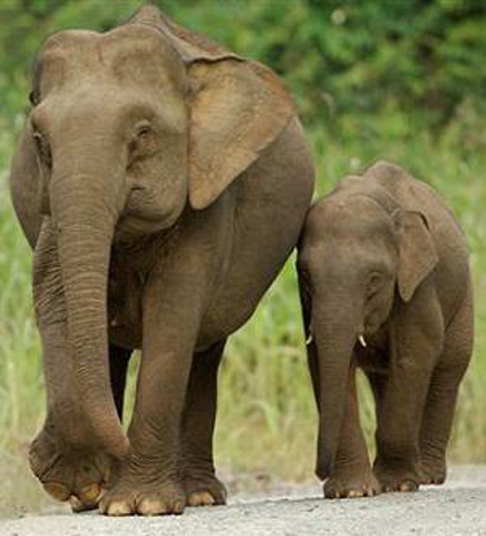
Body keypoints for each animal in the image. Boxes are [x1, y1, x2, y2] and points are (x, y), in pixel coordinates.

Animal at [11, 4, 316, 516]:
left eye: (143, 133)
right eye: (39, 139)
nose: (118, 446)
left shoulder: (209, 192)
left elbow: (172, 317)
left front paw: (140, 505)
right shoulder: (52, 211)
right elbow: (54, 297)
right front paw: (82, 485)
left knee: (203, 353)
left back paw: (196, 495)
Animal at [298, 162, 472, 498]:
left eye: (374, 280)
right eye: (307, 277)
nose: (319, 475)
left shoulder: (419, 285)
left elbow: (414, 355)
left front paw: (398, 484)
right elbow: (323, 363)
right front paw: (351, 492)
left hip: (463, 299)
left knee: (447, 371)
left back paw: (427, 475)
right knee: (383, 380)